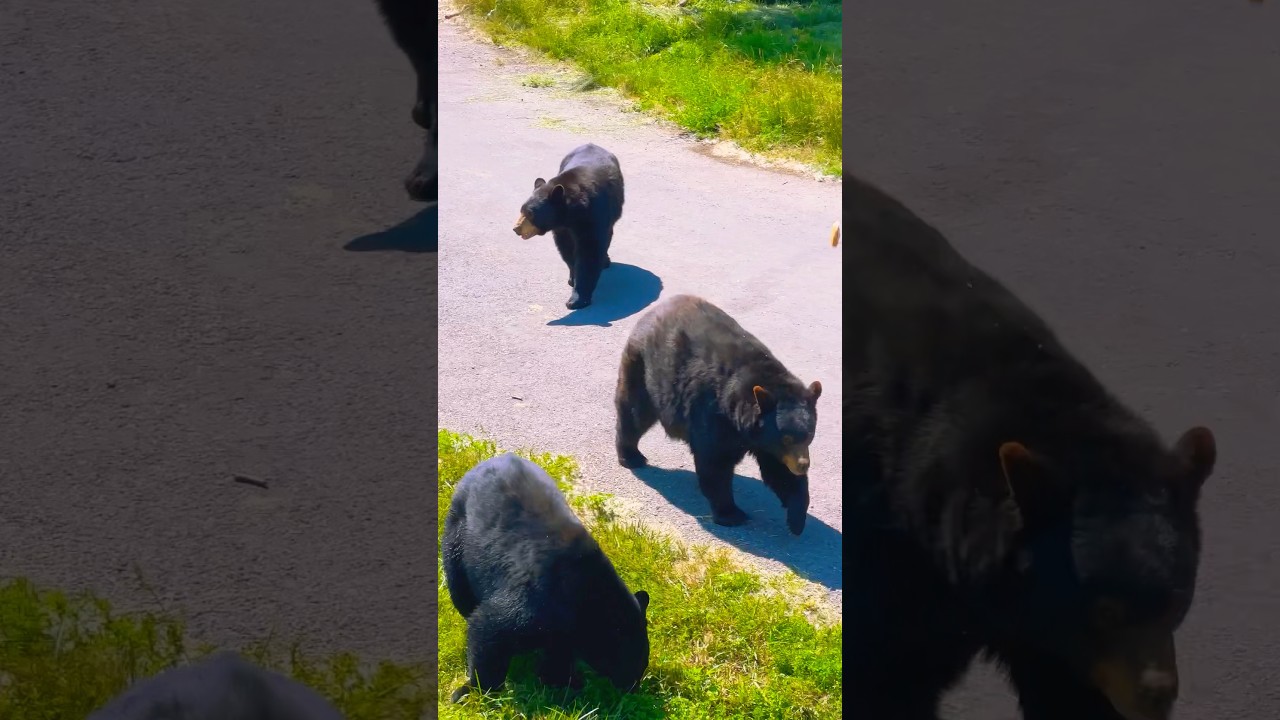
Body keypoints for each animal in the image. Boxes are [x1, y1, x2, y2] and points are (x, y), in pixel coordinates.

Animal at [443, 452, 651, 703]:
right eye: (635, 665)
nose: (633, 689)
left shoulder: (563, 627)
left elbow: (558, 653)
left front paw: (563, 683)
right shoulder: (538, 601)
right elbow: (489, 628)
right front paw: (474, 691)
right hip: (456, 536)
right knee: (461, 593)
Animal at [512, 143, 625, 310]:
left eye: (530, 213)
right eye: (521, 210)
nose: (516, 228)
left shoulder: (593, 216)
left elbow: (590, 252)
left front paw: (577, 299)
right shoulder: (562, 228)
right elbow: (567, 249)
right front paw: (573, 278)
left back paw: (605, 261)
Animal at [614, 294, 822, 536]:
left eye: (809, 435)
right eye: (786, 438)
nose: (803, 465)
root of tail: (651, 312)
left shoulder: (766, 440)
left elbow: (778, 470)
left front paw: (796, 518)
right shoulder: (713, 414)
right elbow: (715, 463)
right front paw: (731, 513)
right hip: (643, 369)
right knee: (634, 412)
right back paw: (631, 456)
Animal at [840, 172, 1218, 720]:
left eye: (1177, 598)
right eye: (1105, 611)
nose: (1156, 696)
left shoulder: (1048, 630)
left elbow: (1071, 694)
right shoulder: (894, 558)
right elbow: (888, 674)